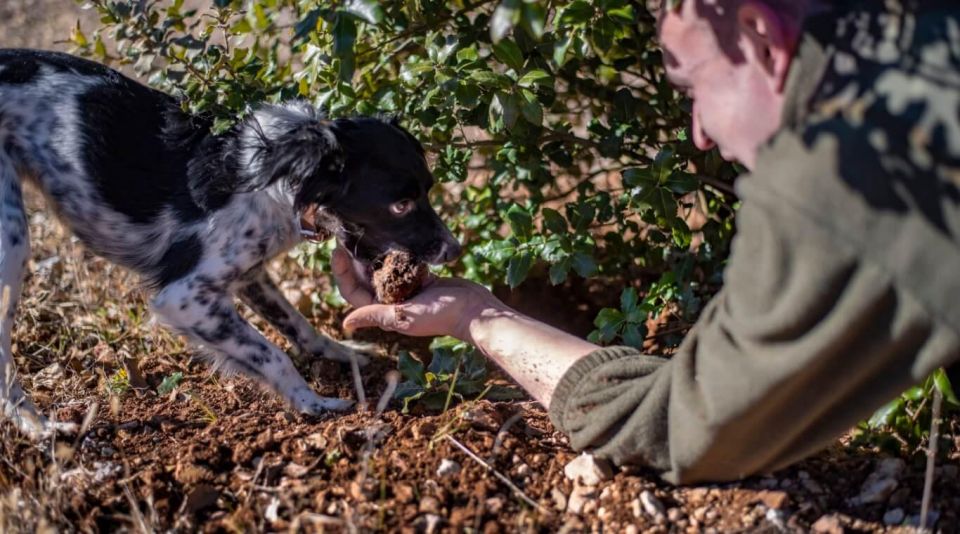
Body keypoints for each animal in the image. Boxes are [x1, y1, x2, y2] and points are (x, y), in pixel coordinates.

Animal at [0, 49, 462, 440]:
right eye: (401, 205)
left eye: (428, 189)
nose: (454, 251)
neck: (280, 179)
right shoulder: (184, 297)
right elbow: (272, 353)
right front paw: (313, 403)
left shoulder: (250, 274)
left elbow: (297, 325)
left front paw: (341, 352)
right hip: (12, 242)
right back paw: (37, 426)